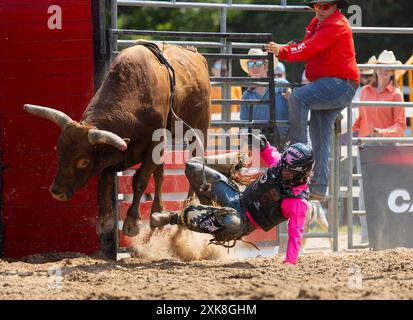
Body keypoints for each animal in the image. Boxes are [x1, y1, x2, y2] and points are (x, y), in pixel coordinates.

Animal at [23, 42, 209, 238]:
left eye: (83, 162)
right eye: (58, 152)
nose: (57, 192)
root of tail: (196, 54)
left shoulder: (155, 143)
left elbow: (140, 180)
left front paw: (132, 221)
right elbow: (106, 180)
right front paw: (105, 219)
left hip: (199, 130)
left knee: (193, 161)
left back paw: (188, 204)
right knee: (160, 173)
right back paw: (156, 212)